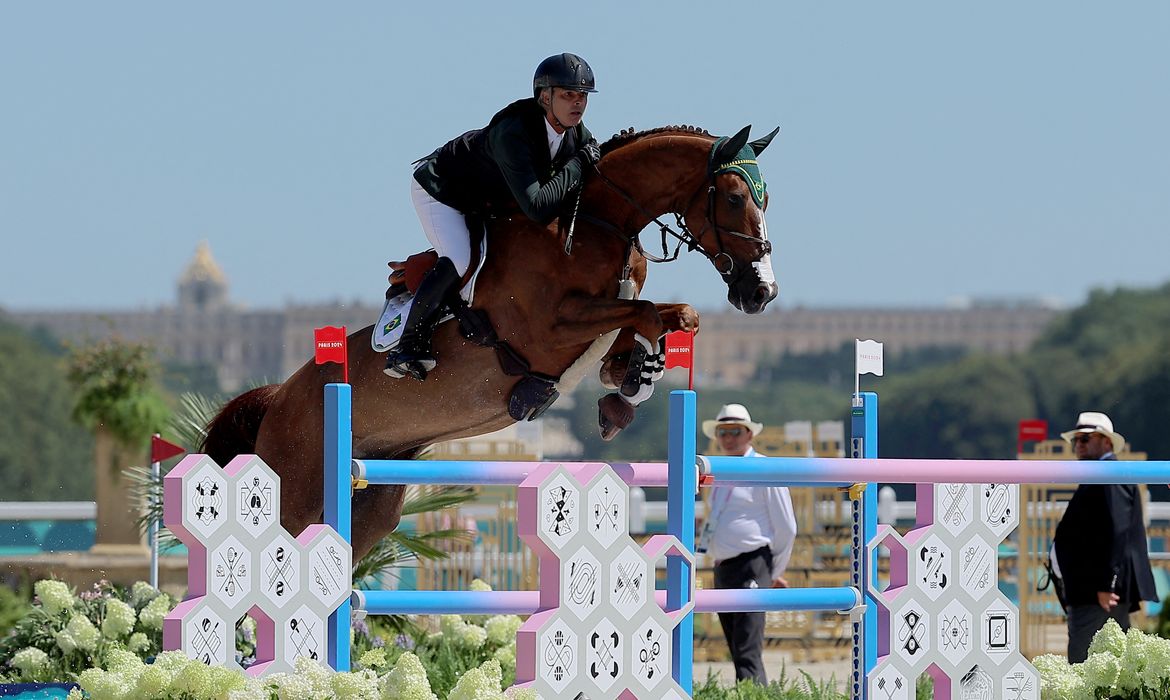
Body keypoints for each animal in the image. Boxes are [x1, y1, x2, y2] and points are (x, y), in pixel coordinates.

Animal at [203, 123, 776, 561]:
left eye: (764, 198)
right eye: (733, 198)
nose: (760, 293)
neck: (596, 223)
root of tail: (278, 397)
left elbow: (663, 320)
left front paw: (627, 389)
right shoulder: (547, 331)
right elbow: (655, 313)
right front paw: (629, 386)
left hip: (371, 503)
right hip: (295, 495)